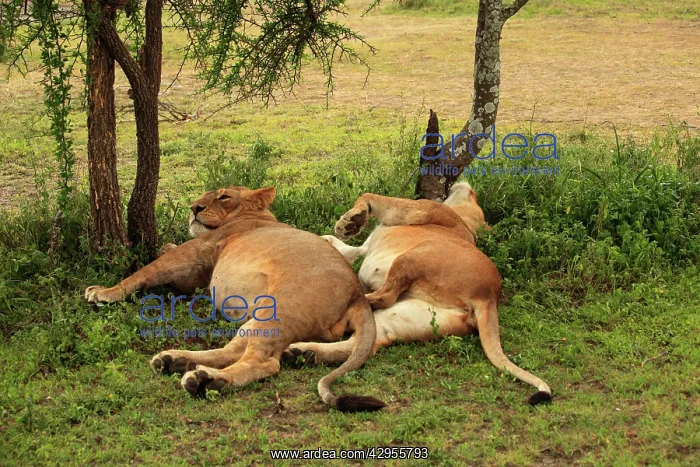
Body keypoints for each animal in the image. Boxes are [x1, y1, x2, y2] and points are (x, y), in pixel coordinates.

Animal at [84, 186, 385, 412]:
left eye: (223, 197)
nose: (194, 208)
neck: (255, 216)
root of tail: (358, 295)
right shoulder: (198, 273)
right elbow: (164, 256)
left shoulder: (195, 250)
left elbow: (146, 271)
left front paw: (105, 292)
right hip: (258, 317)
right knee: (232, 351)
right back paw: (176, 361)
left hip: (280, 310)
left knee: (265, 363)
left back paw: (206, 381)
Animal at [287, 182, 552, 405]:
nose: (470, 186)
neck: (465, 224)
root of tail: (489, 296)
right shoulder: (364, 247)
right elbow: (338, 244)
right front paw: (336, 232)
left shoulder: (418, 208)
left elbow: (369, 196)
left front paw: (351, 221)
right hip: (406, 315)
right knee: (365, 342)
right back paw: (301, 353)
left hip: (414, 255)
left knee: (384, 297)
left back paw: (346, 307)